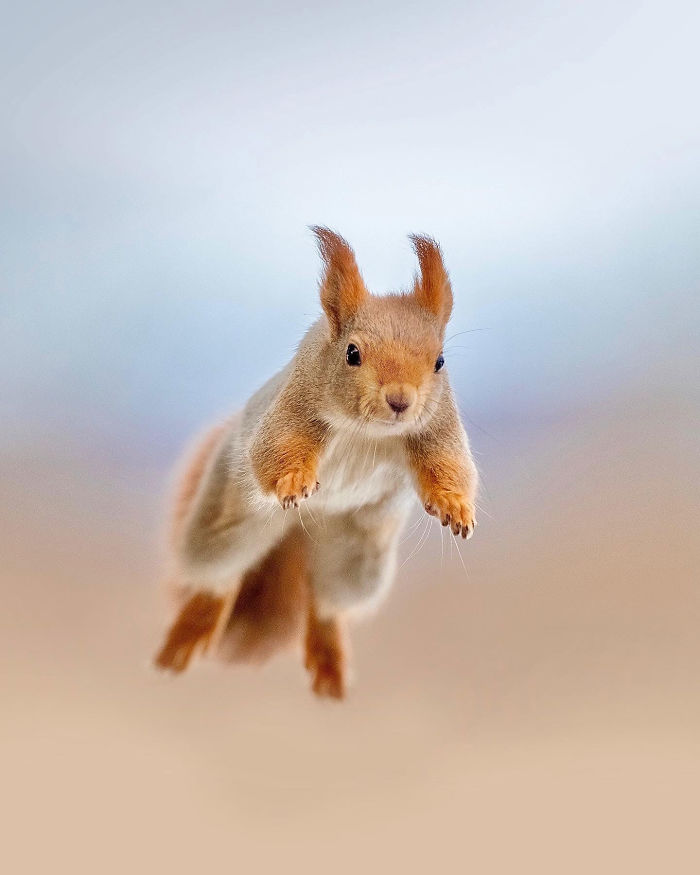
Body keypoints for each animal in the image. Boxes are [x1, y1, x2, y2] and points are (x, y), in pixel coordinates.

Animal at [155, 228, 478, 698]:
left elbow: (448, 464)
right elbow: (277, 448)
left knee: (326, 604)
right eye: (352, 353)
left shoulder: (436, 427)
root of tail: (303, 528)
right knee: (218, 577)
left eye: (439, 361)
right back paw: (190, 632)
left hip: (356, 556)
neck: (367, 430)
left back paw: (329, 660)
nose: (400, 401)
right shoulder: (296, 405)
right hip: (227, 523)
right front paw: (292, 480)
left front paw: (455, 507)